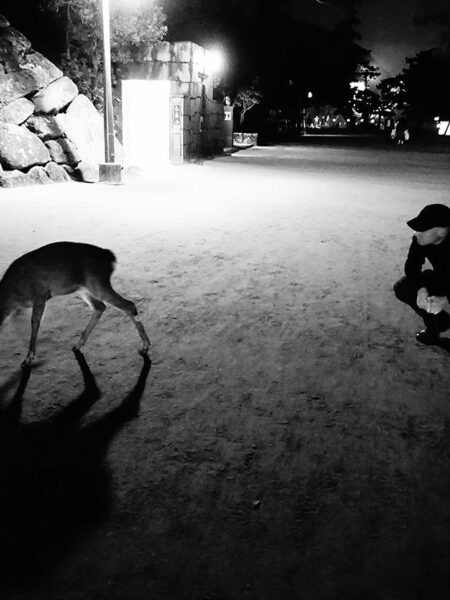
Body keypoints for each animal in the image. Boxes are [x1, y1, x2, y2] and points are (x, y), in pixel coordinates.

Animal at [0, 243, 151, 366]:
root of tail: (110, 256)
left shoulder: (40, 296)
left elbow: (34, 323)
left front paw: (29, 358)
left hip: (97, 283)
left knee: (128, 305)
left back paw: (145, 346)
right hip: (83, 288)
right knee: (100, 306)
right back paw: (78, 344)